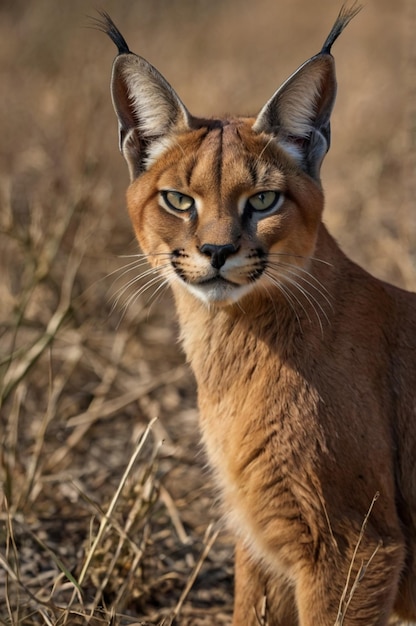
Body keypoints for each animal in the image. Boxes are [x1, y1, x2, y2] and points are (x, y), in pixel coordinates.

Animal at [97, 6, 416, 624]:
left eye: (264, 200)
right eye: (178, 200)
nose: (218, 251)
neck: (229, 339)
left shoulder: (352, 546)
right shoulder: (263, 534)